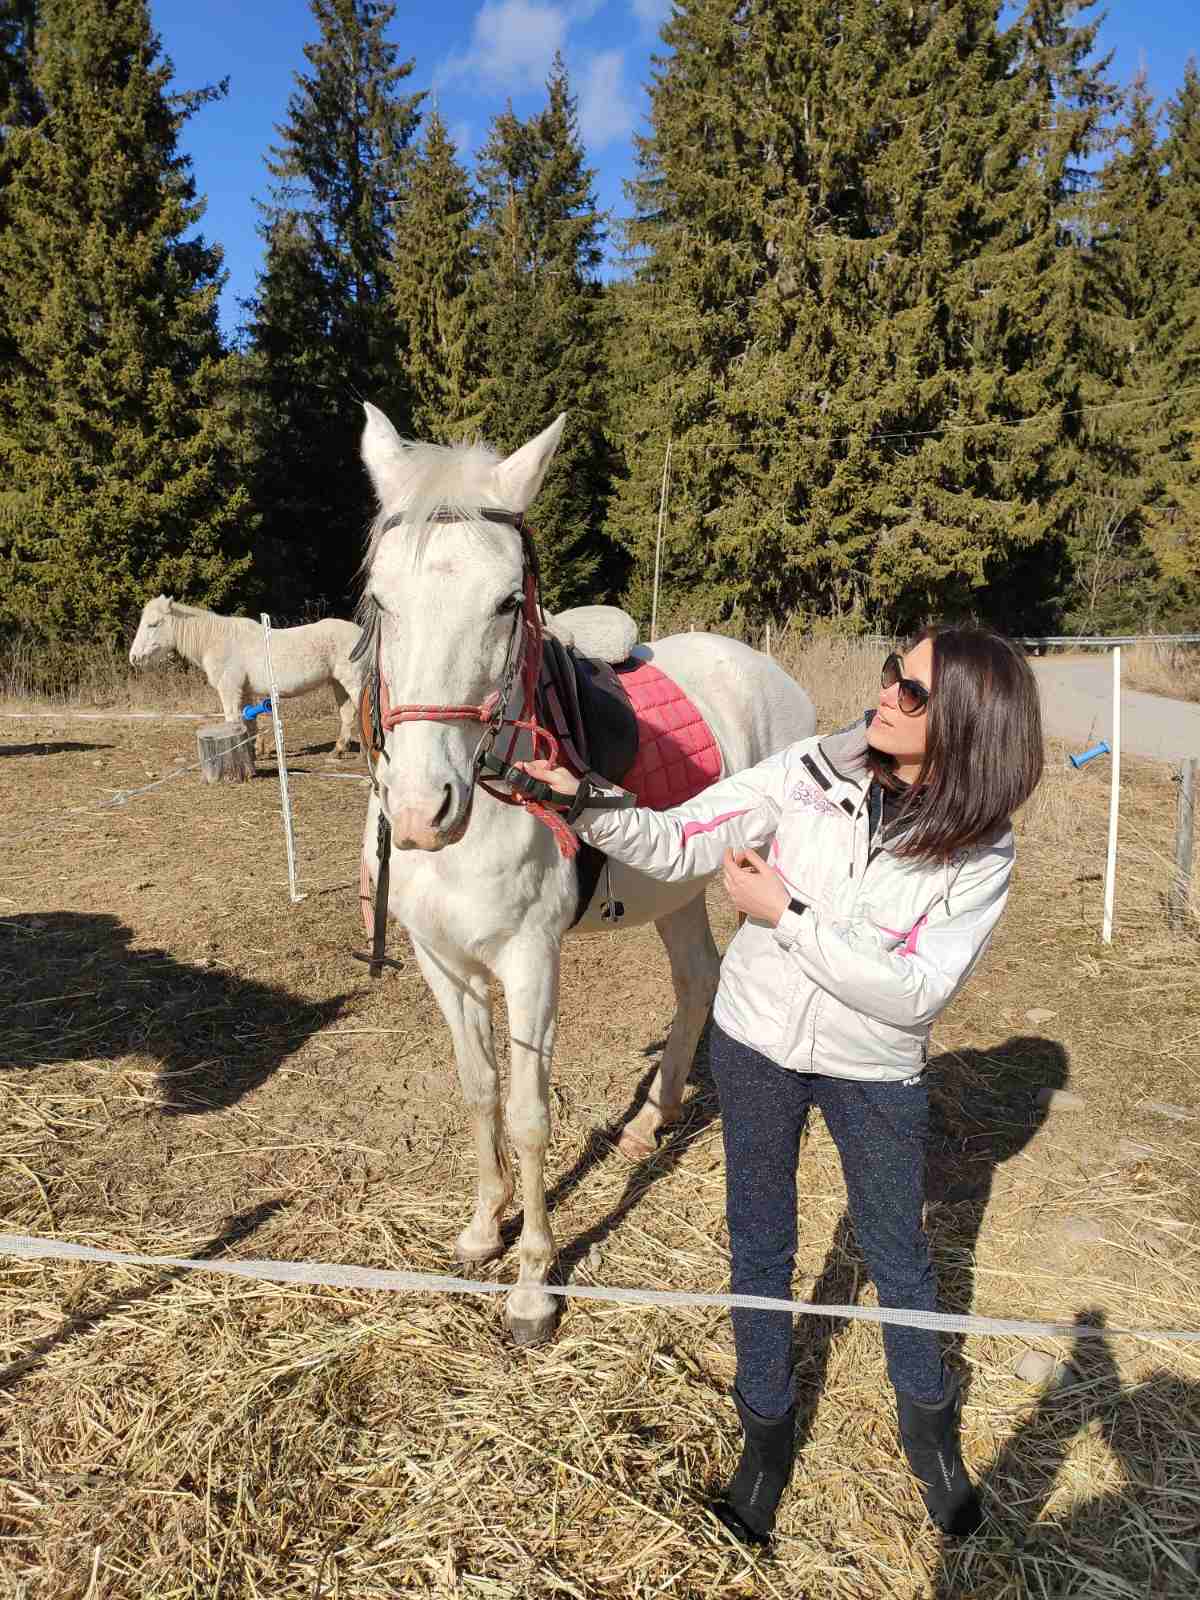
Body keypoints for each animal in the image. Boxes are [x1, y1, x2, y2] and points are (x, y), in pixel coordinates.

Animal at [129, 597, 365, 757]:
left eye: (153, 624)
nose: (134, 657)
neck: (216, 640)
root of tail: (362, 633)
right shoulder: (245, 691)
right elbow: (249, 722)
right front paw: (256, 750)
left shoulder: (229, 688)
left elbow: (232, 719)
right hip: (337, 683)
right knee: (347, 714)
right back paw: (338, 751)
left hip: (353, 682)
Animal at [357, 403, 817, 1344]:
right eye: (382, 598)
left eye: (506, 603)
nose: (422, 811)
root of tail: (769, 672)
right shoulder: (440, 962)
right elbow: (479, 1091)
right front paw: (482, 1229)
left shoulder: (530, 962)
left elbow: (530, 1115)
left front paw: (534, 1282)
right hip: (679, 891)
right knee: (696, 979)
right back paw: (648, 1123)